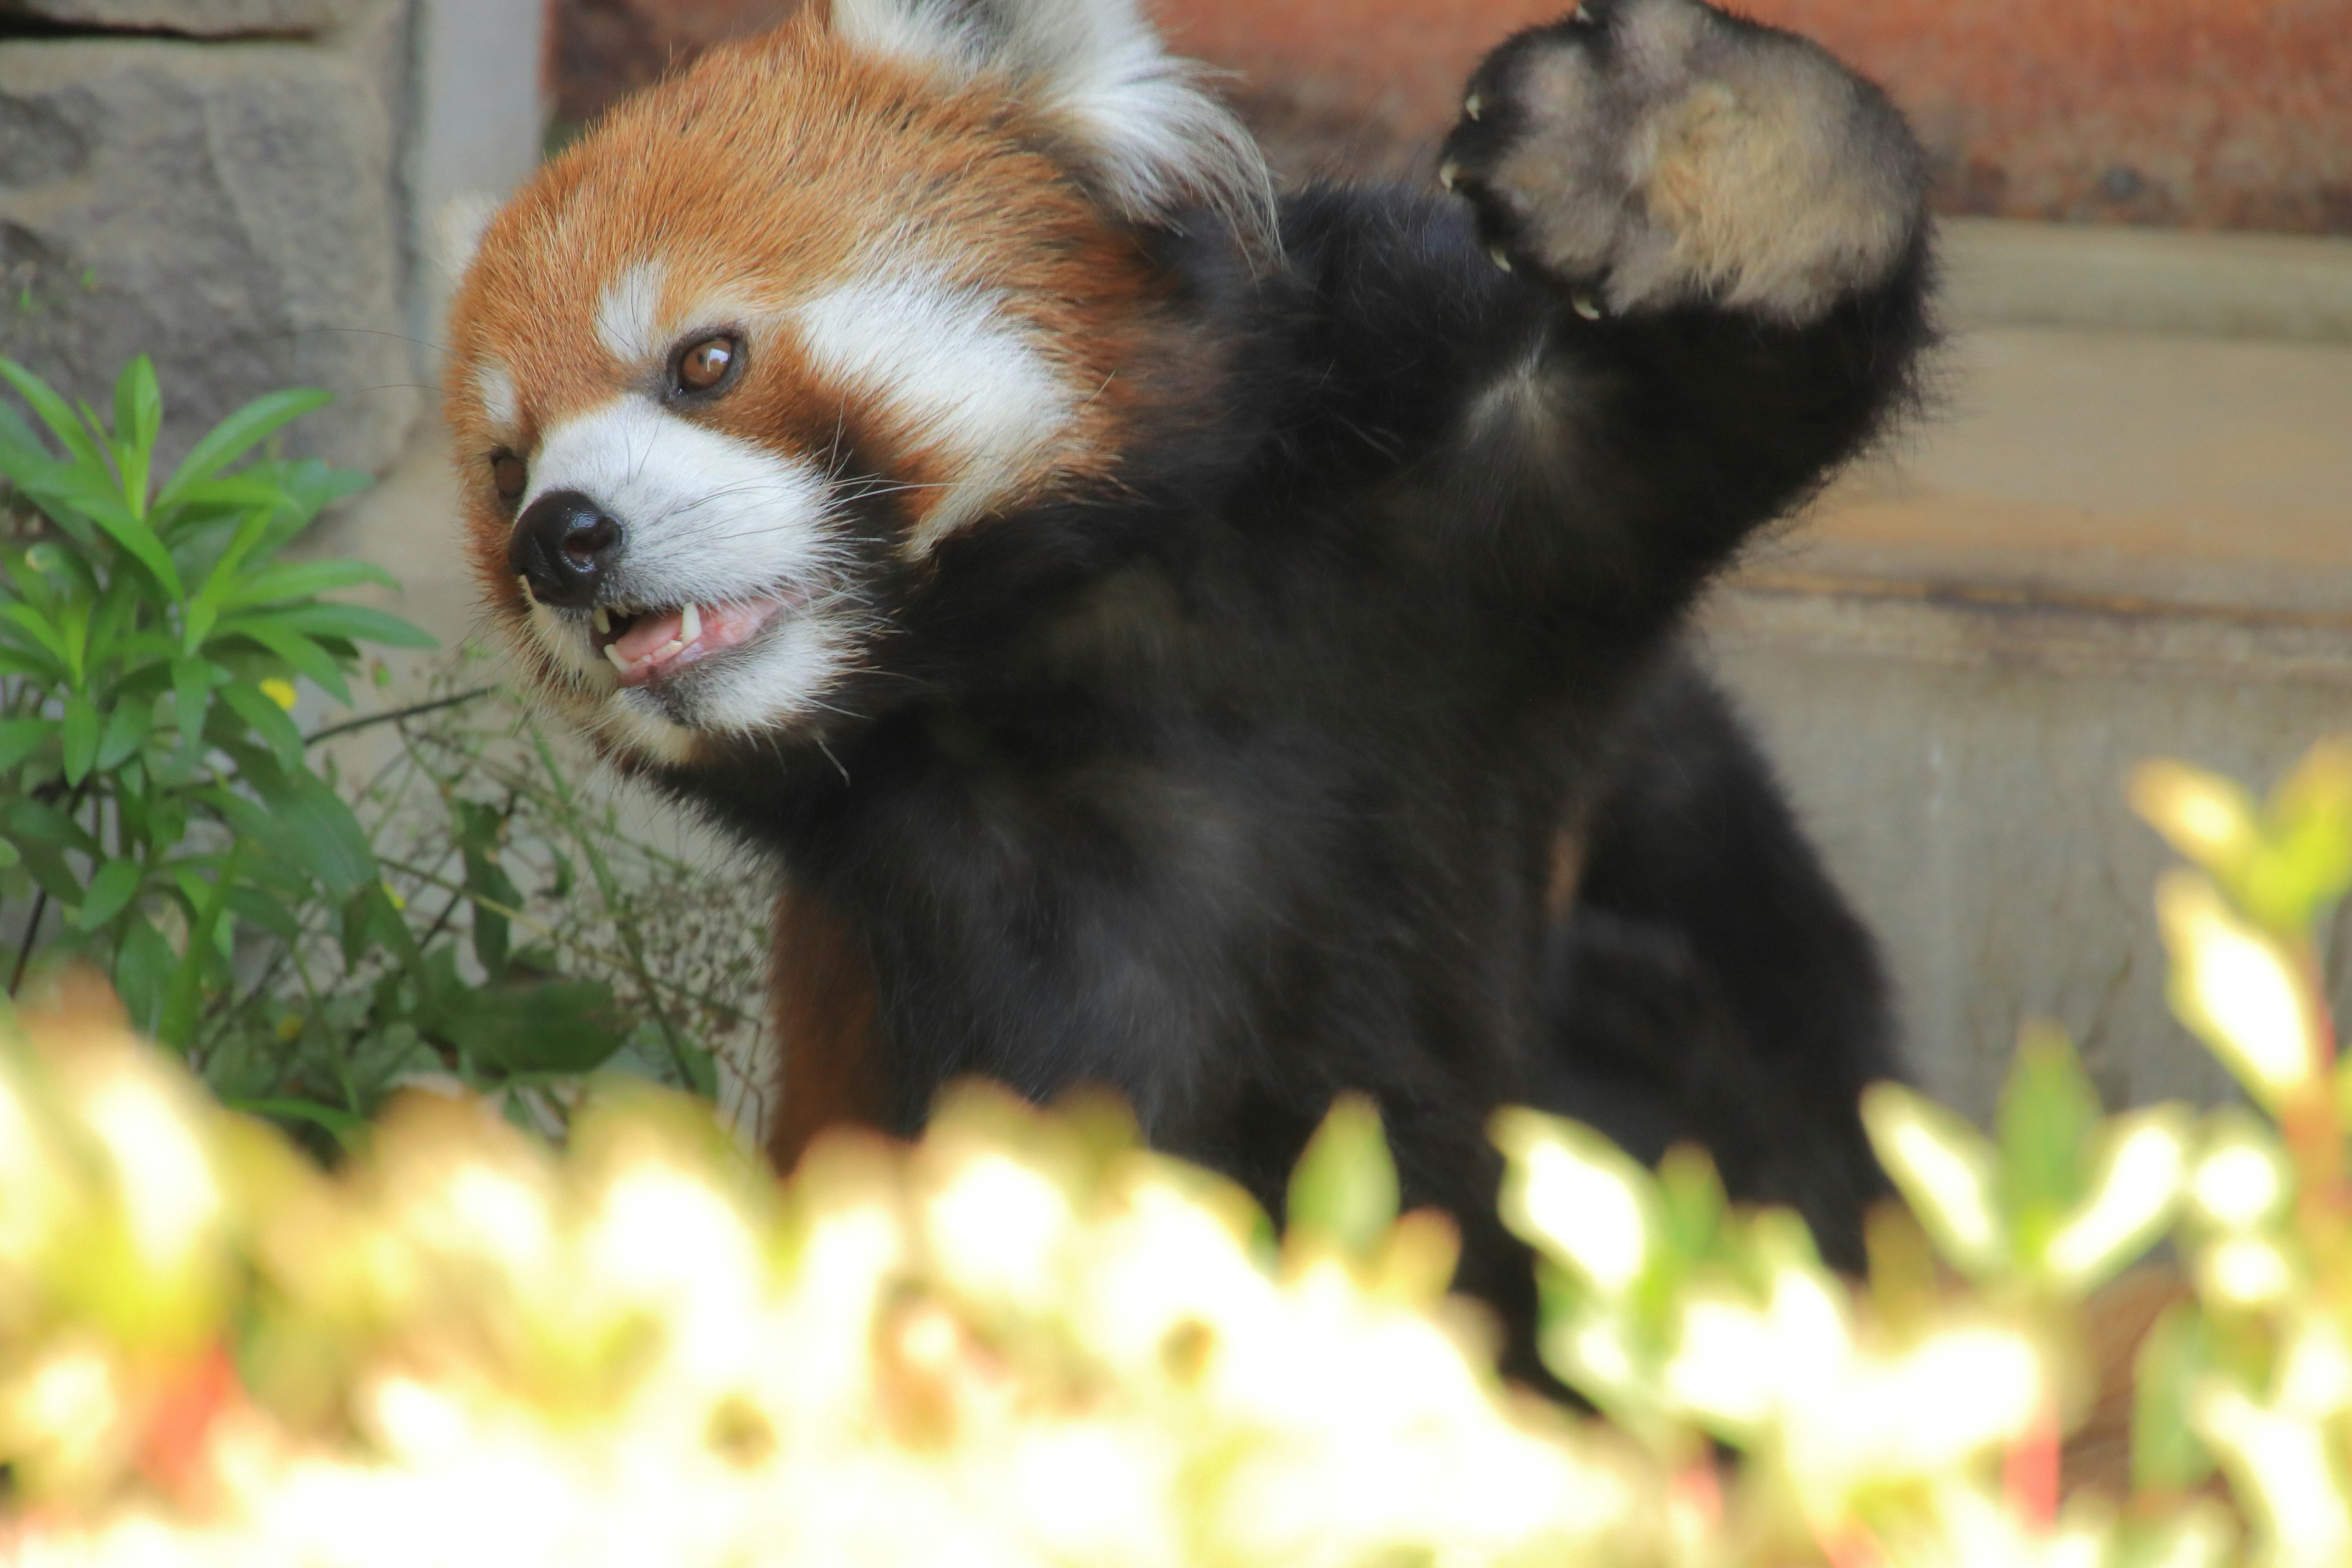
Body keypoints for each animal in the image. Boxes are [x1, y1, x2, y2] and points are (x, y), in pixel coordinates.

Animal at [442, 0, 1928, 1363]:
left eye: (706, 362)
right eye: (506, 468)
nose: (559, 543)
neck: (1093, 640)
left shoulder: (1464, 542)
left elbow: (1707, 388)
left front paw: (1662, 139)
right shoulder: (975, 895)